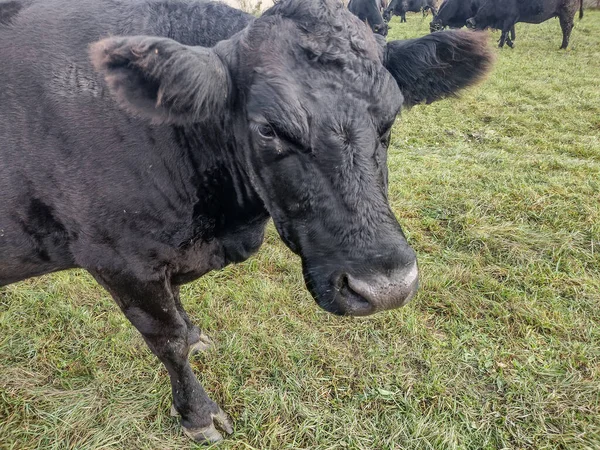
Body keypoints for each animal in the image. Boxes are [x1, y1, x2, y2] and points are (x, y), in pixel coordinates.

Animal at [0, 0, 492, 442]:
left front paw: (196, 335)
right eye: (268, 129)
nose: (386, 286)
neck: (219, 230)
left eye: (390, 119)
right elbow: (167, 339)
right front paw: (197, 414)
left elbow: (179, 316)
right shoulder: (121, 261)